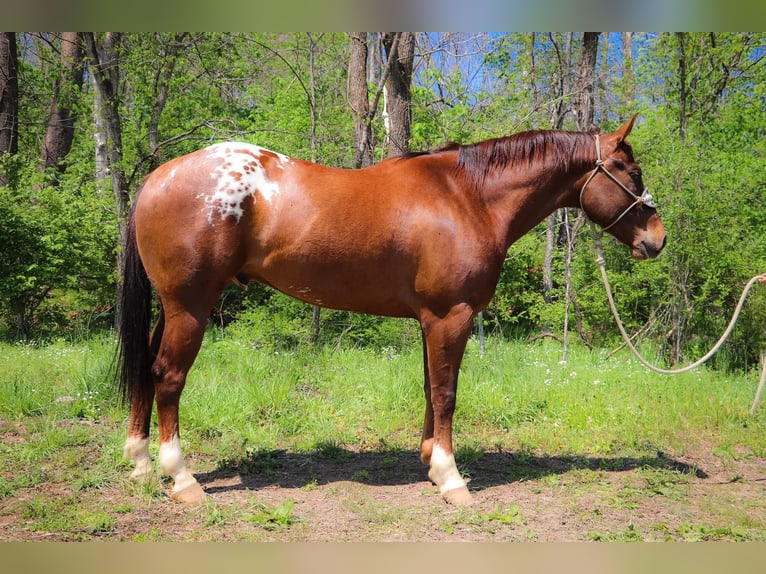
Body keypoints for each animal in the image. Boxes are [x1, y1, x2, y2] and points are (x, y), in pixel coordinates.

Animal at [117, 115, 664, 506]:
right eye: (633, 173)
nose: (657, 240)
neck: (469, 198)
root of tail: (156, 177)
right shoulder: (451, 316)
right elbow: (446, 393)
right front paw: (451, 478)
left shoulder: (431, 320)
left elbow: (429, 388)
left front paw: (431, 463)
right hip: (191, 307)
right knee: (168, 376)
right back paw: (182, 478)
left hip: (173, 308)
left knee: (146, 366)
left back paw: (141, 463)